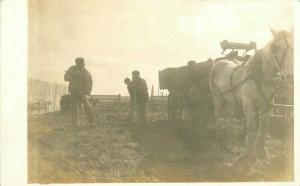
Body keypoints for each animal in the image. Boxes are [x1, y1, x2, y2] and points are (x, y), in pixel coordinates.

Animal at [209, 28, 292, 161]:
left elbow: (263, 126)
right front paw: (250, 154)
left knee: (229, 116)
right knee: (217, 114)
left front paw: (262, 151)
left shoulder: (268, 104)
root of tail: (219, 62)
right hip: (217, 97)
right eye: (277, 47)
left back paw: (231, 141)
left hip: (231, 100)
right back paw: (219, 138)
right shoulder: (248, 104)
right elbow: (252, 127)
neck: (260, 75)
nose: (290, 77)